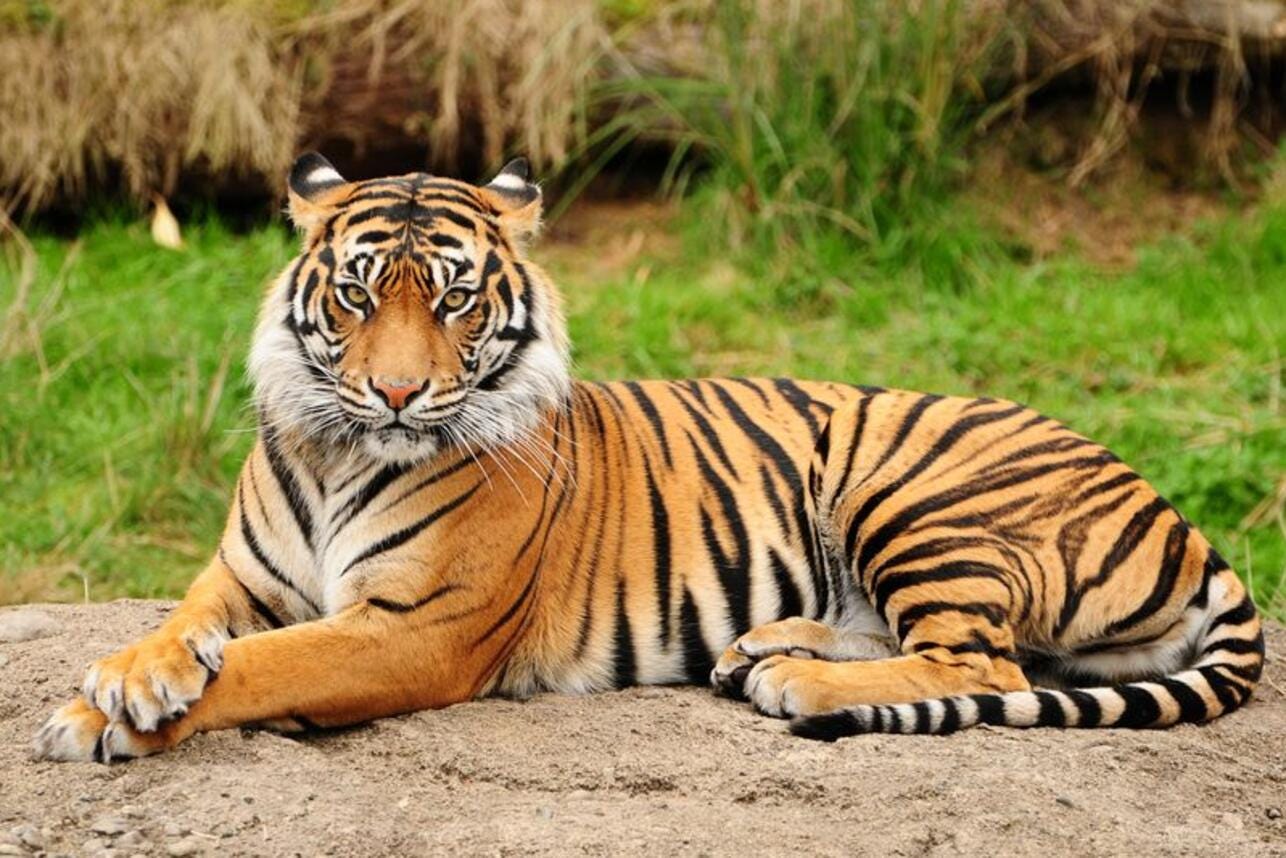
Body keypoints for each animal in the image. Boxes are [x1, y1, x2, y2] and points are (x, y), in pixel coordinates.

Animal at [33, 153, 1264, 762]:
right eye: (356, 294)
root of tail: (1177, 514)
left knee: (987, 666)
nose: (396, 391)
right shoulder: (239, 578)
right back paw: (762, 648)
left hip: (911, 490)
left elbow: (266, 668)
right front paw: (127, 679)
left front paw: (102, 719)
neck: (341, 452)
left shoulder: (413, 629)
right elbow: (187, 630)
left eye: (454, 299)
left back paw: (796, 680)